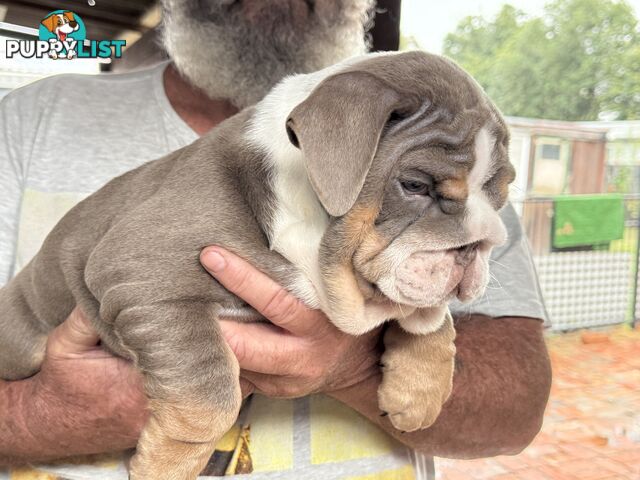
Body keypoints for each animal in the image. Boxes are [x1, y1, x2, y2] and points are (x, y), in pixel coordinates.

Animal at [0, 50, 512, 478]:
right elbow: (209, 393)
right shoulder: (144, 278)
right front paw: (166, 464)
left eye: (500, 192)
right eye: (415, 185)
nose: (480, 243)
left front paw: (420, 392)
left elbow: (432, 319)